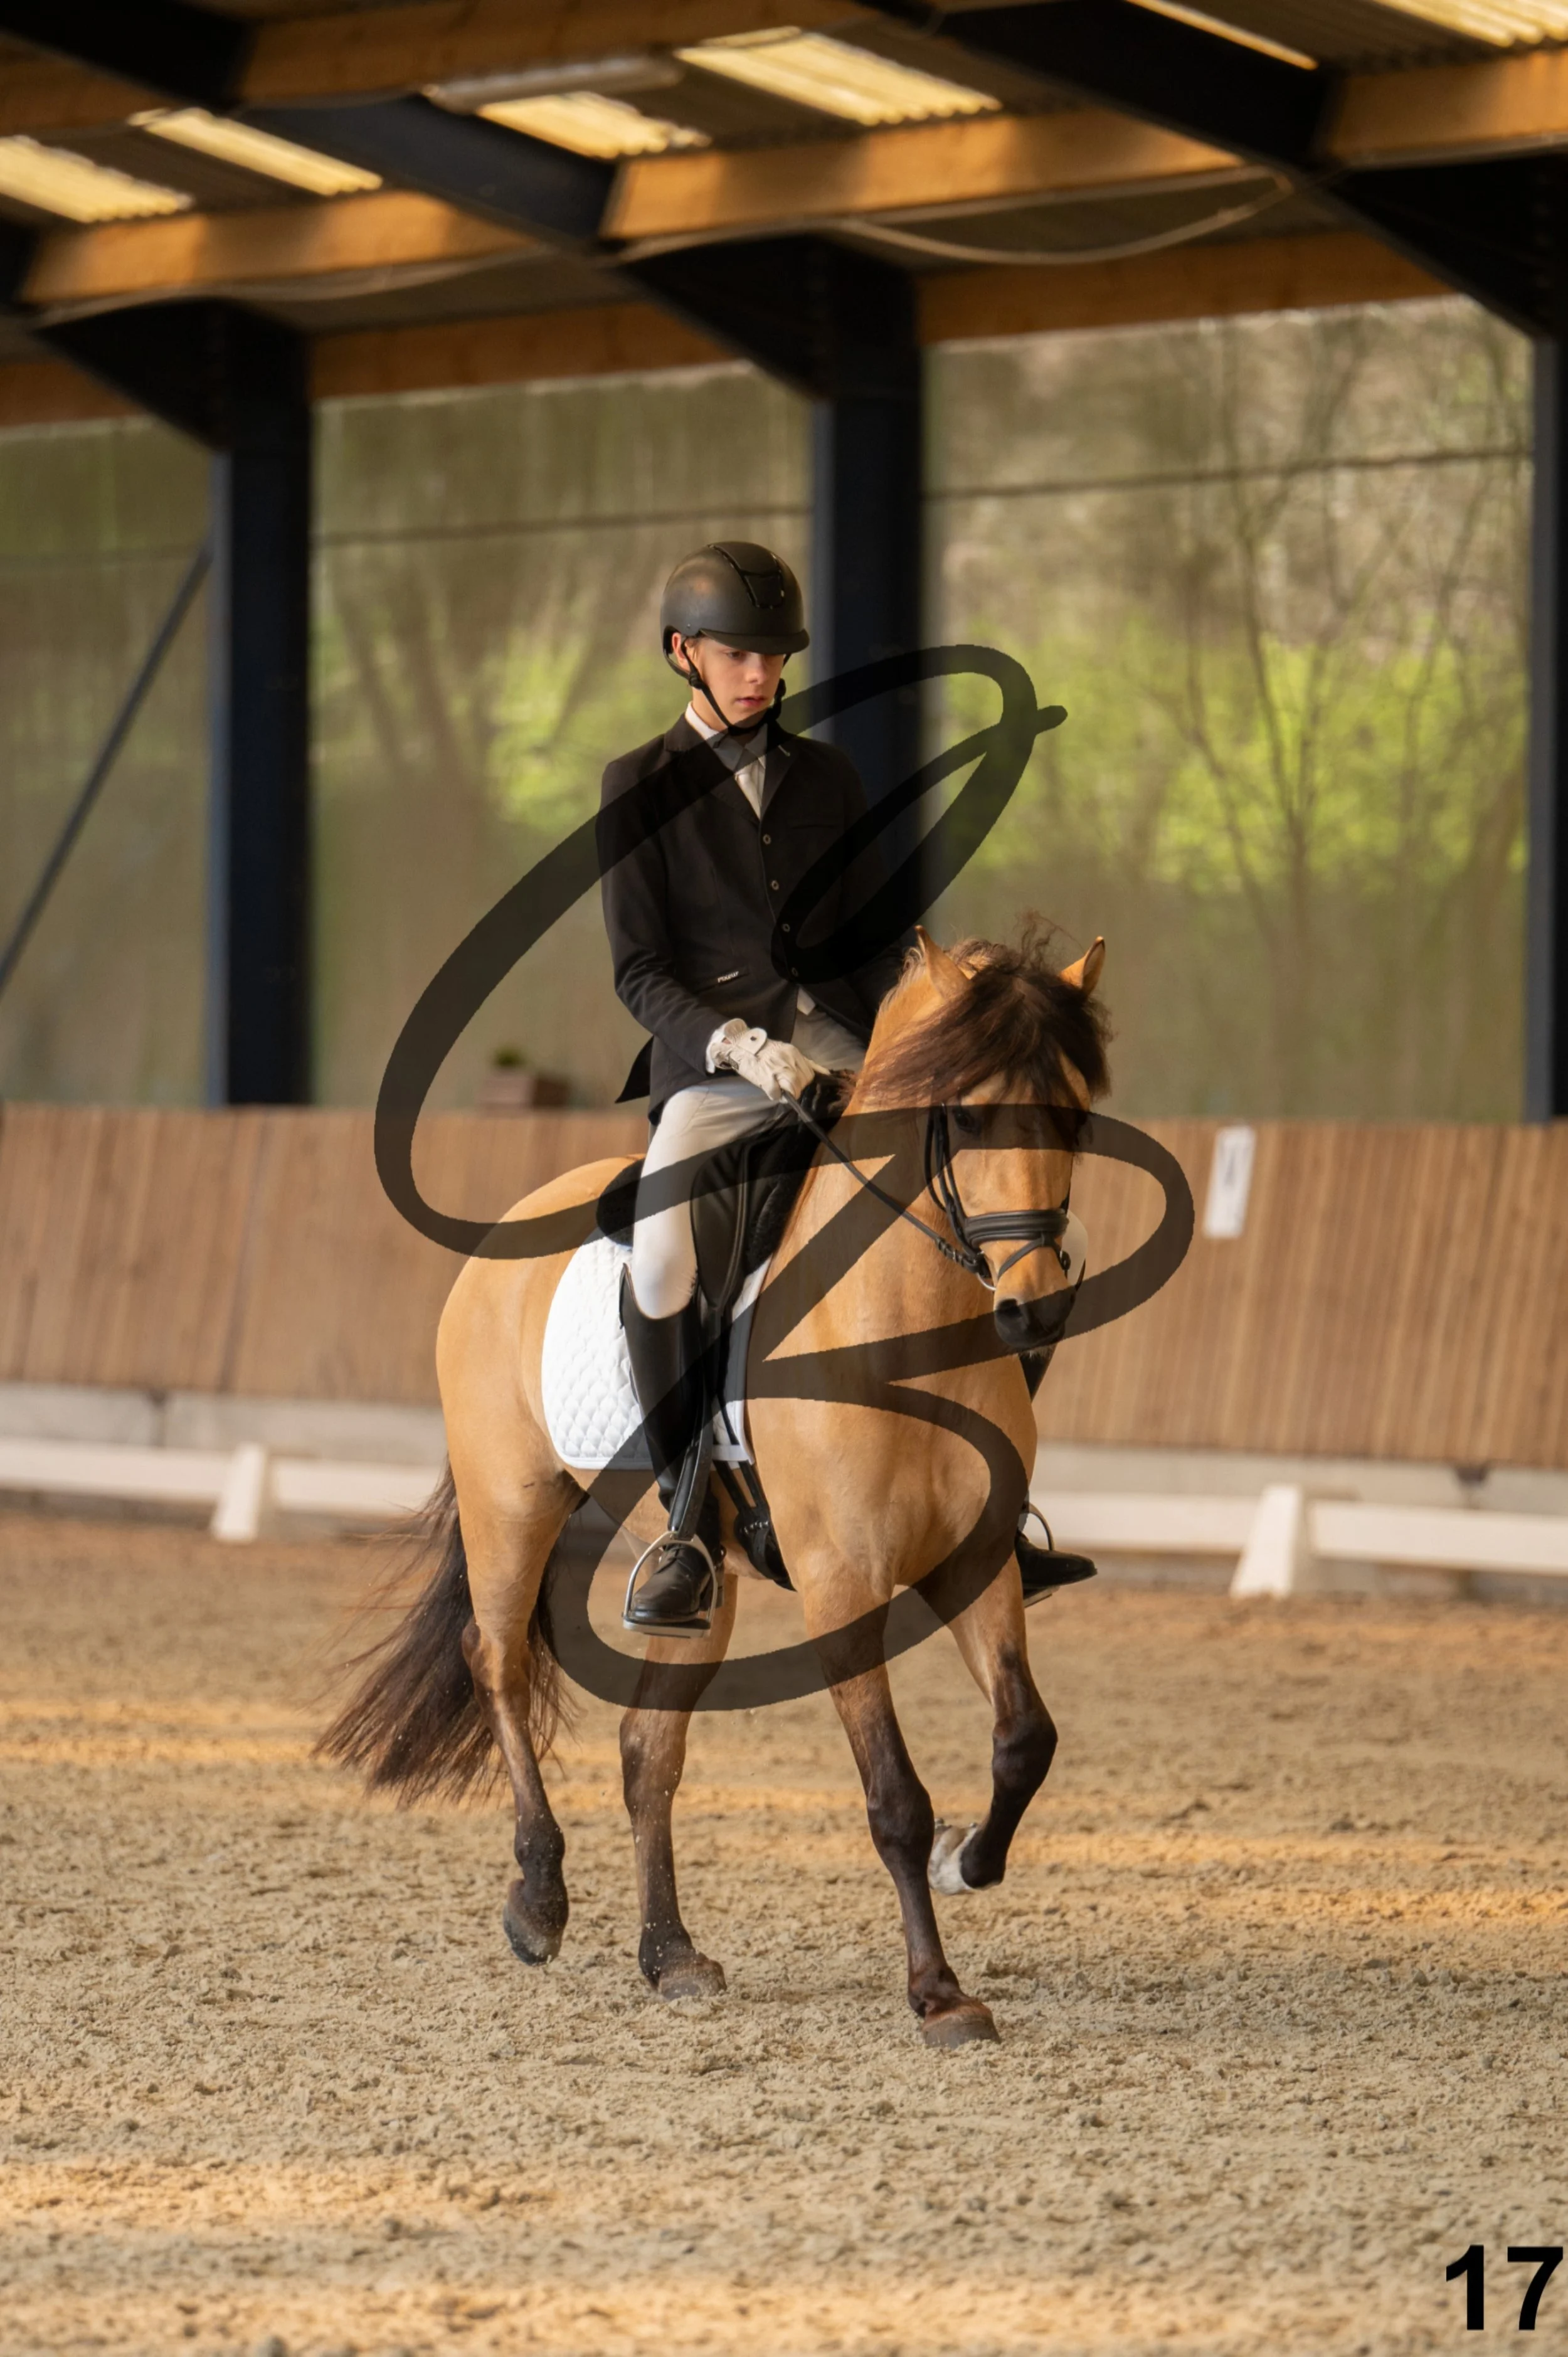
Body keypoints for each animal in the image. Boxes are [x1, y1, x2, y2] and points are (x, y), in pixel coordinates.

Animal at [321, 927, 1110, 2048]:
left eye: (1076, 1114)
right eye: (961, 1115)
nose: (1033, 1310)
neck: (900, 1320)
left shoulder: (975, 1564)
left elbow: (1023, 1741)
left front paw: (971, 1861)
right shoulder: (841, 1584)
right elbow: (893, 1796)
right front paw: (939, 1992)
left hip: (701, 1571)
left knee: (648, 1745)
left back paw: (670, 1955)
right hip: (511, 1504)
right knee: (500, 1664)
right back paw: (539, 1901)